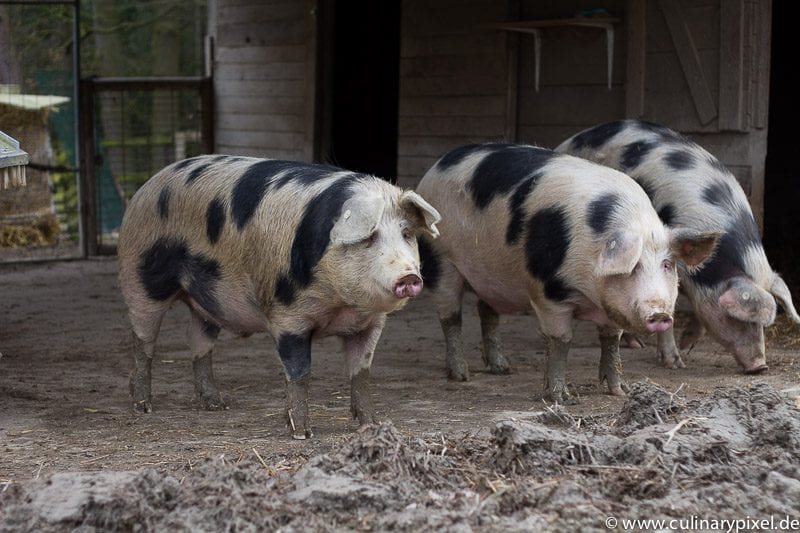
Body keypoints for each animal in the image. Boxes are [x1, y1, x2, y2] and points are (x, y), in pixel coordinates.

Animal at [118, 154, 440, 436]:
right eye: (370, 237)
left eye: (407, 234)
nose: (410, 277)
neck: (341, 304)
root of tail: (151, 182)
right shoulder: (288, 316)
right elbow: (300, 372)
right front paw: (302, 433)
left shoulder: (371, 323)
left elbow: (361, 373)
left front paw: (372, 425)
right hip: (142, 278)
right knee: (143, 342)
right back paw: (143, 406)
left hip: (207, 296)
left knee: (199, 341)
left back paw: (216, 404)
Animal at [418, 143, 720, 402]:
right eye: (633, 267)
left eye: (667, 265)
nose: (659, 314)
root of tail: (440, 164)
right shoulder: (547, 291)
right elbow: (561, 341)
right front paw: (561, 397)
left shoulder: (611, 305)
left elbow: (611, 340)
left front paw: (620, 391)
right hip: (440, 259)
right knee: (451, 318)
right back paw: (461, 375)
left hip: (493, 279)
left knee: (486, 311)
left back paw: (503, 369)